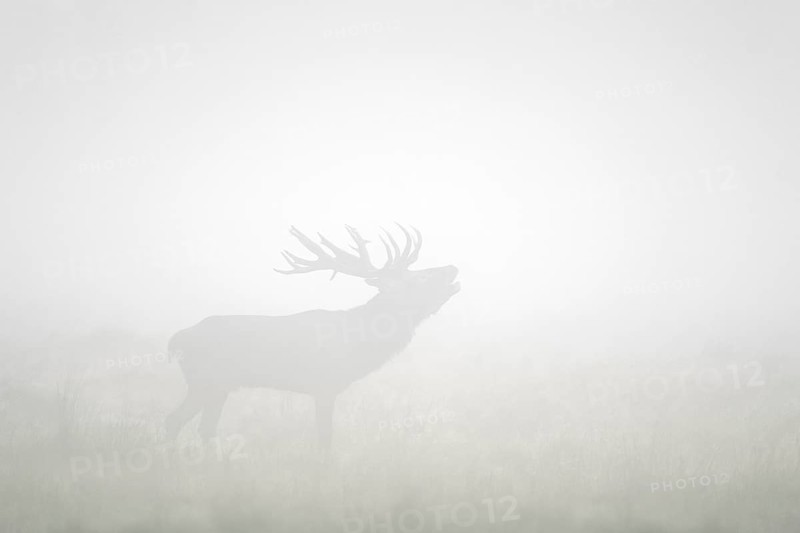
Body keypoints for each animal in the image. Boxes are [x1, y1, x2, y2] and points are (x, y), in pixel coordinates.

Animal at [165, 224, 460, 448]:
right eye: (418, 279)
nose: (452, 268)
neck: (358, 343)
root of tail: (176, 339)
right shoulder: (324, 384)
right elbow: (324, 436)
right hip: (204, 381)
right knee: (175, 420)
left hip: (220, 387)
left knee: (204, 427)